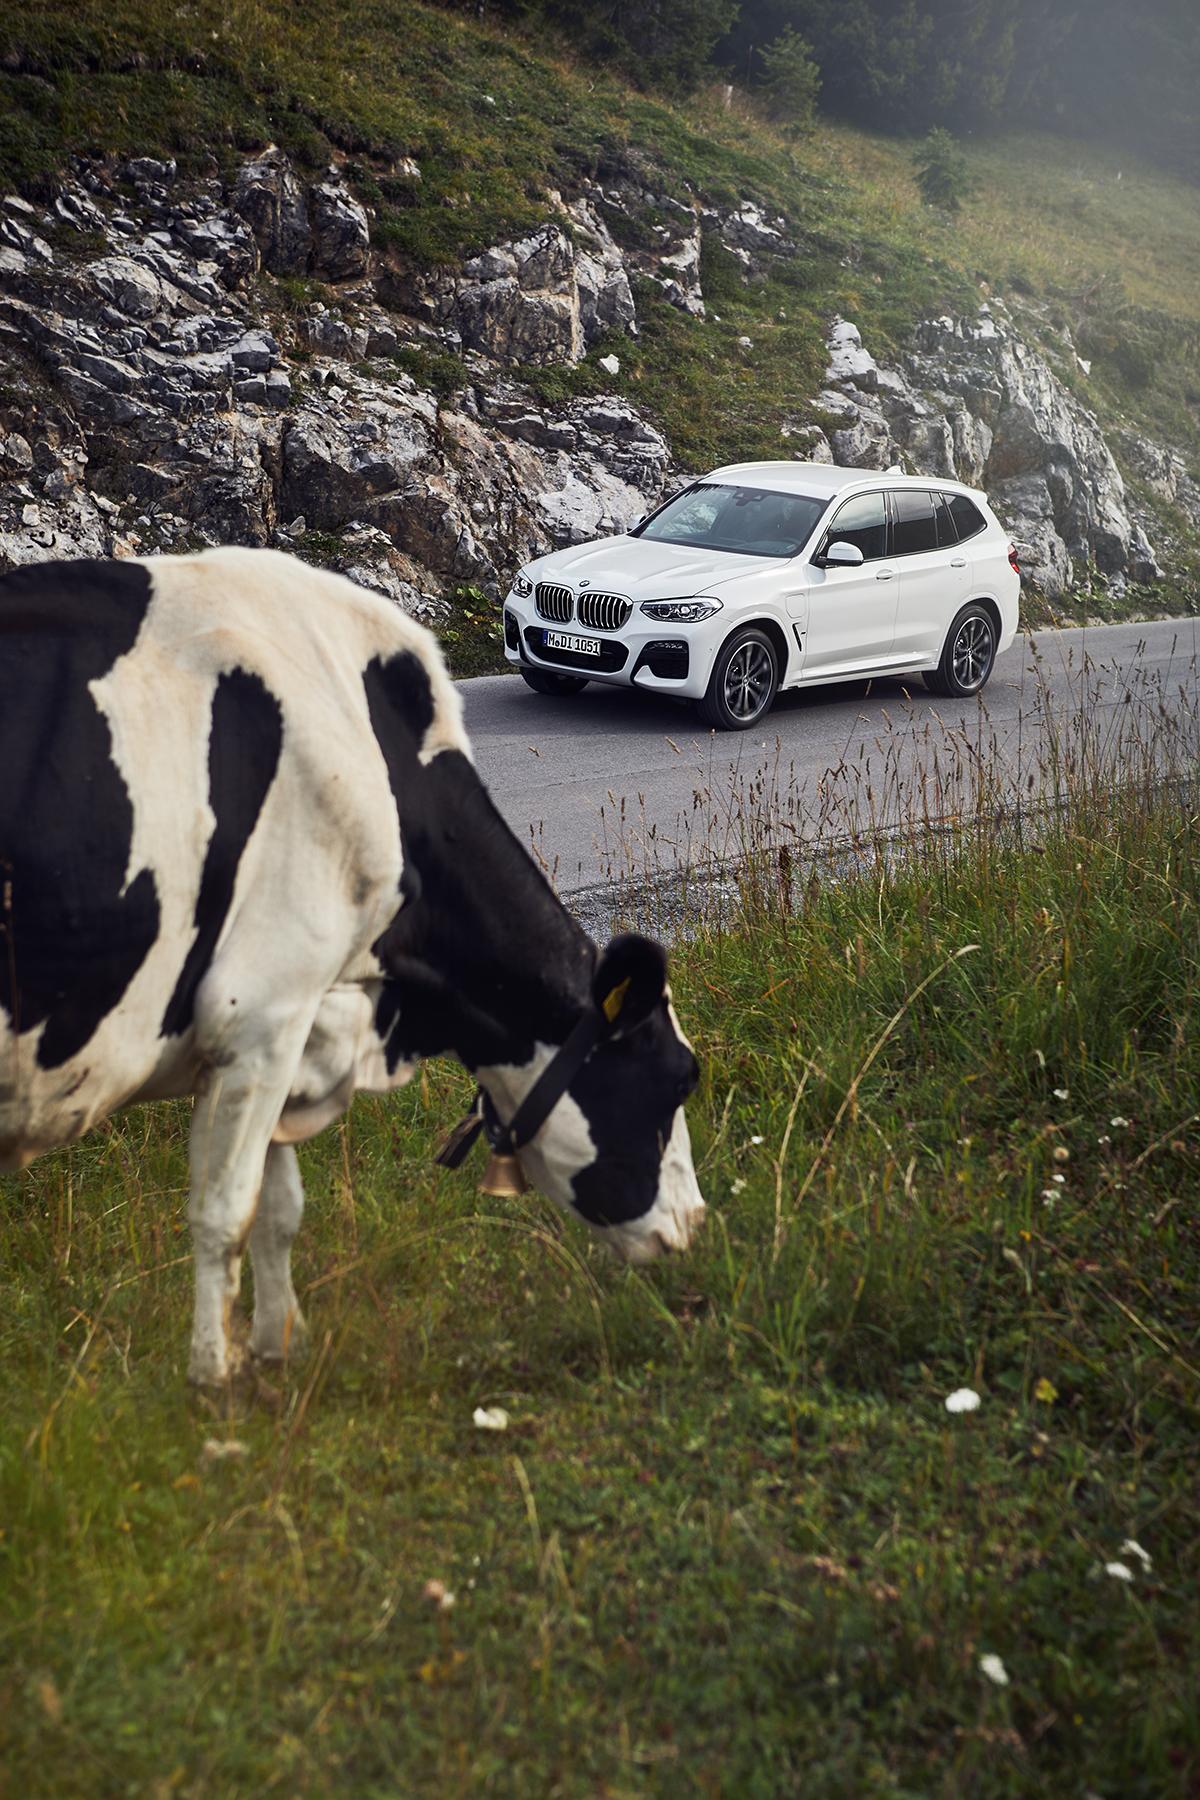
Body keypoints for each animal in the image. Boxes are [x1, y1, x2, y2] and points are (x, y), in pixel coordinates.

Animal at [0, 543, 708, 1375]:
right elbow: (224, 1214)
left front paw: (280, 1350)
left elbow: (278, 1208)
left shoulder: (289, 1027)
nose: (695, 1220)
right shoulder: (261, 1013)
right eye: (679, 1078)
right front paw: (215, 1379)